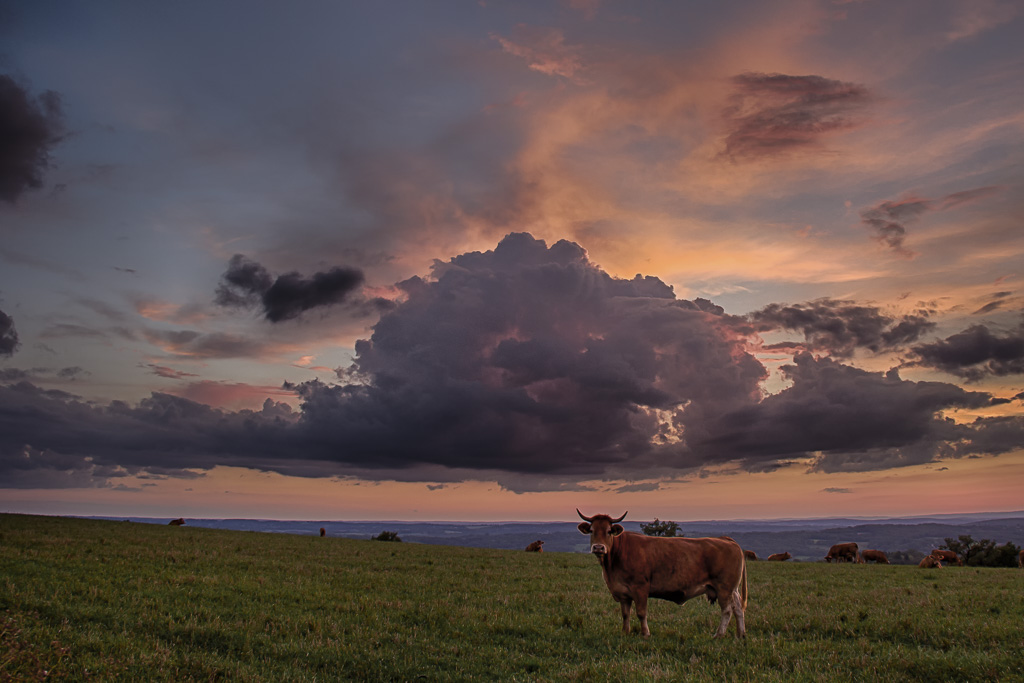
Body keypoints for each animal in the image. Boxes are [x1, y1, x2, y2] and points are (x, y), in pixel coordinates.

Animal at [577, 507, 745, 643]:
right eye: (592, 531)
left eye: (608, 531)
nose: (598, 547)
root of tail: (726, 540)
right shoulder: (623, 592)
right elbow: (625, 613)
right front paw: (625, 632)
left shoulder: (640, 588)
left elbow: (641, 612)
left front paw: (645, 634)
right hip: (732, 590)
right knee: (738, 608)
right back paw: (740, 635)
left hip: (724, 588)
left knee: (727, 610)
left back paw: (719, 635)